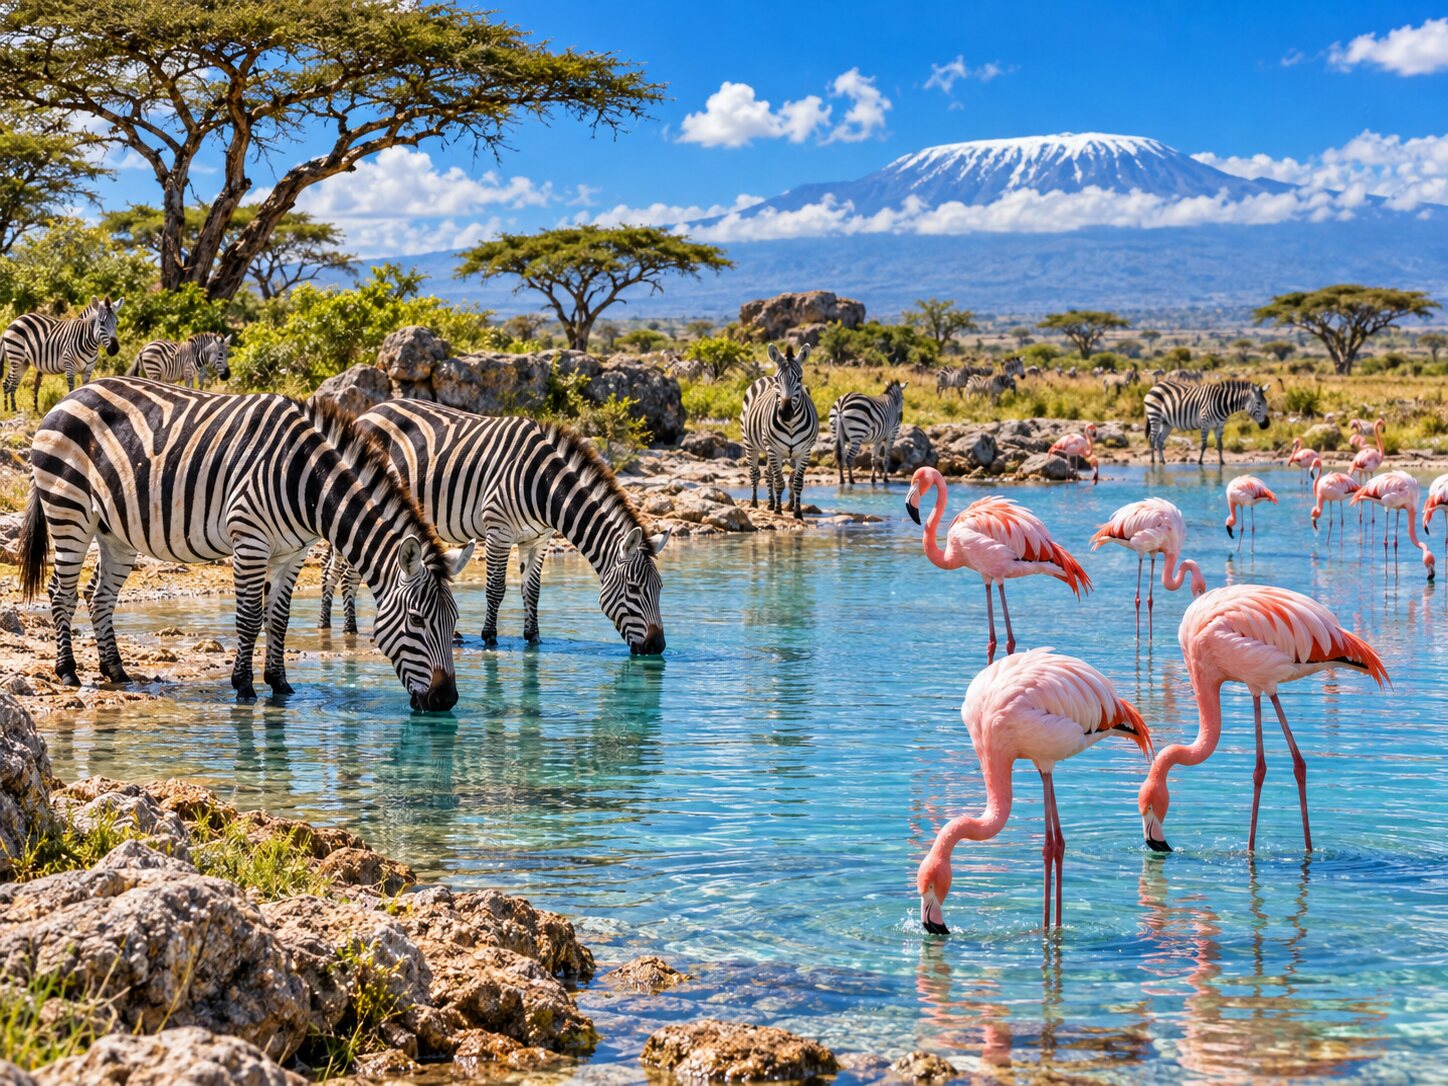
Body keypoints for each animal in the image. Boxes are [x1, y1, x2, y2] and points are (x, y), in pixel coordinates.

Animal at [18, 377, 471, 708]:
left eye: (453, 621)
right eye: (417, 620)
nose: (446, 700)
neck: (306, 483)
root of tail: (72, 394)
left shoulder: (293, 552)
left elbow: (280, 619)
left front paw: (280, 684)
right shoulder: (249, 539)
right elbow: (250, 617)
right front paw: (244, 687)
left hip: (116, 531)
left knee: (99, 596)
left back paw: (116, 671)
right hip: (69, 509)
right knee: (62, 593)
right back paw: (68, 671)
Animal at [314, 402, 669, 653]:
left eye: (661, 589)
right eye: (634, 589)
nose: (657, 648)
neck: (543, 485)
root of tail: (366, 413)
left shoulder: (537, 539)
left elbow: (532, 590)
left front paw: (533, 637)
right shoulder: (499, 530)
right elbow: (496, 589)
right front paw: (490, 636)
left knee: (332, 570)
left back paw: (325, 623)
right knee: (347, 574)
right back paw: (349, 629)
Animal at [741, 344, 819, 520]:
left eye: (800, 379)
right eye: (778, 379)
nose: (785, 412)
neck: (790, 425)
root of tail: (764, 378)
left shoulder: (804, 452)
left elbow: (797, 483)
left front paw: (797, 512)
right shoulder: (774, 450)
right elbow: (779, 482)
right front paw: (778, 510)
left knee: (767, 473)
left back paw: (770, 503)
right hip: (751, 444)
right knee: (755, 473)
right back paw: (755, 503)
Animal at [1144, 379, 1272, 465]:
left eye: (1266, 403)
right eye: (1259, 403)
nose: (1266, 425)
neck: (1222, 403)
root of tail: (1156, 385)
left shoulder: (1219, 426)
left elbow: (1220, 445)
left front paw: (1222, 462)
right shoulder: (1205, 423)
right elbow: (1204, 445)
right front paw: (1200, 462)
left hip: (1167, 423)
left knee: (1159, 441)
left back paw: (1162, 461)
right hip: (1155, 416)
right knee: (1152, 439)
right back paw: (1153, 461)